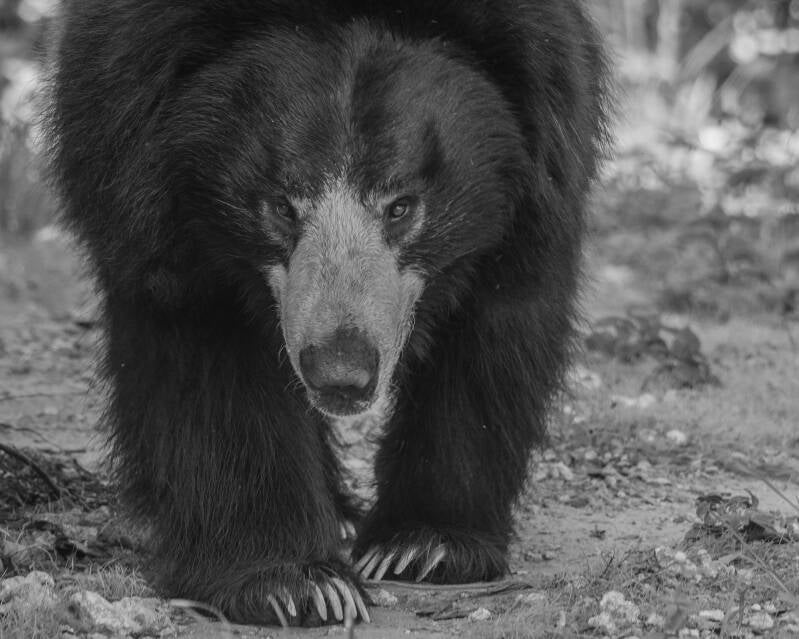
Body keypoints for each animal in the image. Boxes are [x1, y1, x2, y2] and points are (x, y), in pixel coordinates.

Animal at [43, 0, 610, 626]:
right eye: (281, 207)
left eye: (402, 207)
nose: (341, 373)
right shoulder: (134, 163)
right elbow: (205, 354)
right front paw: (295, 583)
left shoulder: (544, 156)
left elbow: (492, 339)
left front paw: (424, 546)